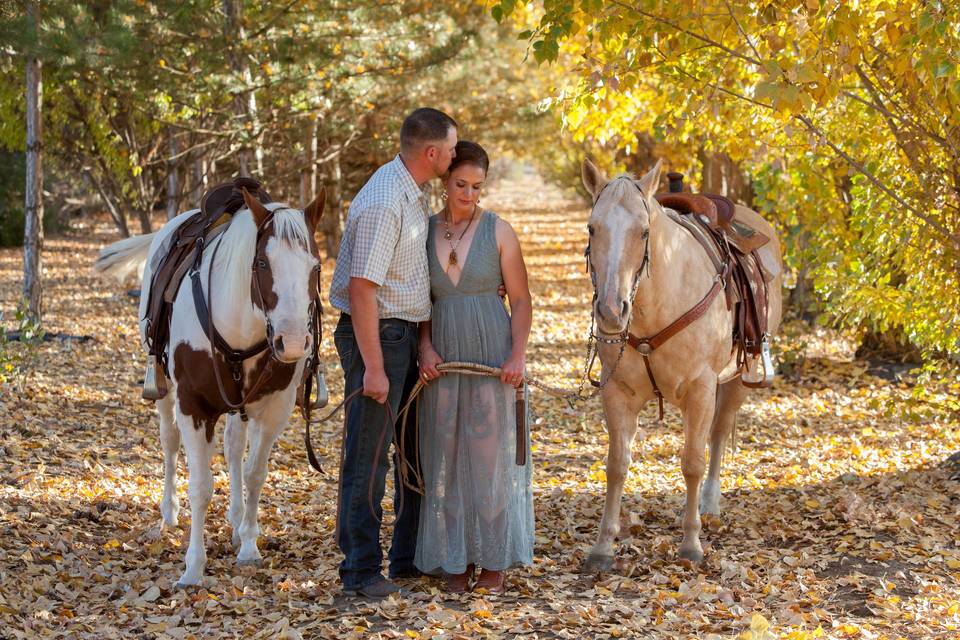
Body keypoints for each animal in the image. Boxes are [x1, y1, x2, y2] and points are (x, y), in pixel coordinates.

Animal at [96, 186, 326, 584]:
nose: (295, 342)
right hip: (165, 389)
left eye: (315, 267)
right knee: (169, 441)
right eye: (262, 264)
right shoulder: (194, 406)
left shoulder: (273, 409)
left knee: (233, 449)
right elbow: (201, 486)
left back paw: (235, 520)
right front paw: (193, 567)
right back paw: (169, 511)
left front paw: (248, 545)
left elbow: (254, 475)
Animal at [576, 159, 780, 568]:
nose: (611, 311)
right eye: (592, 227)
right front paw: (603, 546)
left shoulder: (701, 390)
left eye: (643, 232)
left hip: (737, 378)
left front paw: (691, 542)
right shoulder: (617, 392)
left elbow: (692, 462)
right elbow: (616, 465)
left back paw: (709, 504)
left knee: (717, 435)